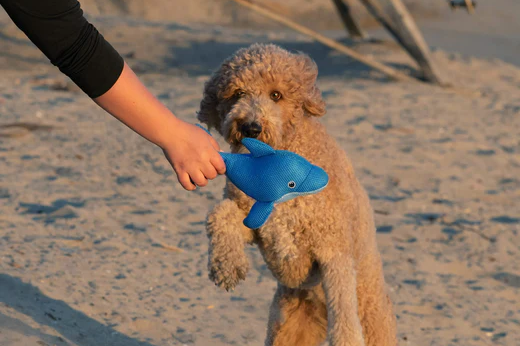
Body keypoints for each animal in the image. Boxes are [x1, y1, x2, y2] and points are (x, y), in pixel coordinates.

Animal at [197, 43, 396, 346]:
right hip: (288, 325)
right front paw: (227, 265)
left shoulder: (333, 249)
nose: (251, 127)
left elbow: (343, 311)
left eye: (276, 95)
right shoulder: (256, 225)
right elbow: (219, 214)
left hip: (372, 317)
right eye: (237, 93)